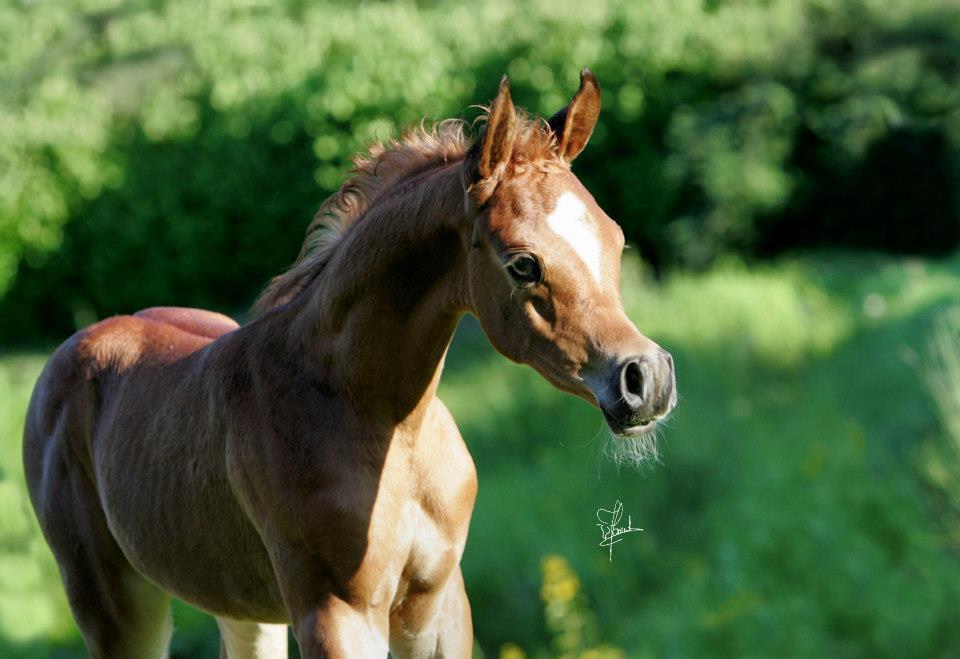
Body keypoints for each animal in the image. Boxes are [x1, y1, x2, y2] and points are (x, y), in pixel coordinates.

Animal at [23, 69, 676, 658]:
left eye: (615, 238)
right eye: (523, 263)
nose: (647, 380)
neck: (380, 419)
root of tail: (82, 343)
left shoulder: (438, 605)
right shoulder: (337, 614)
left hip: (241, 609)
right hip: (113, 603)